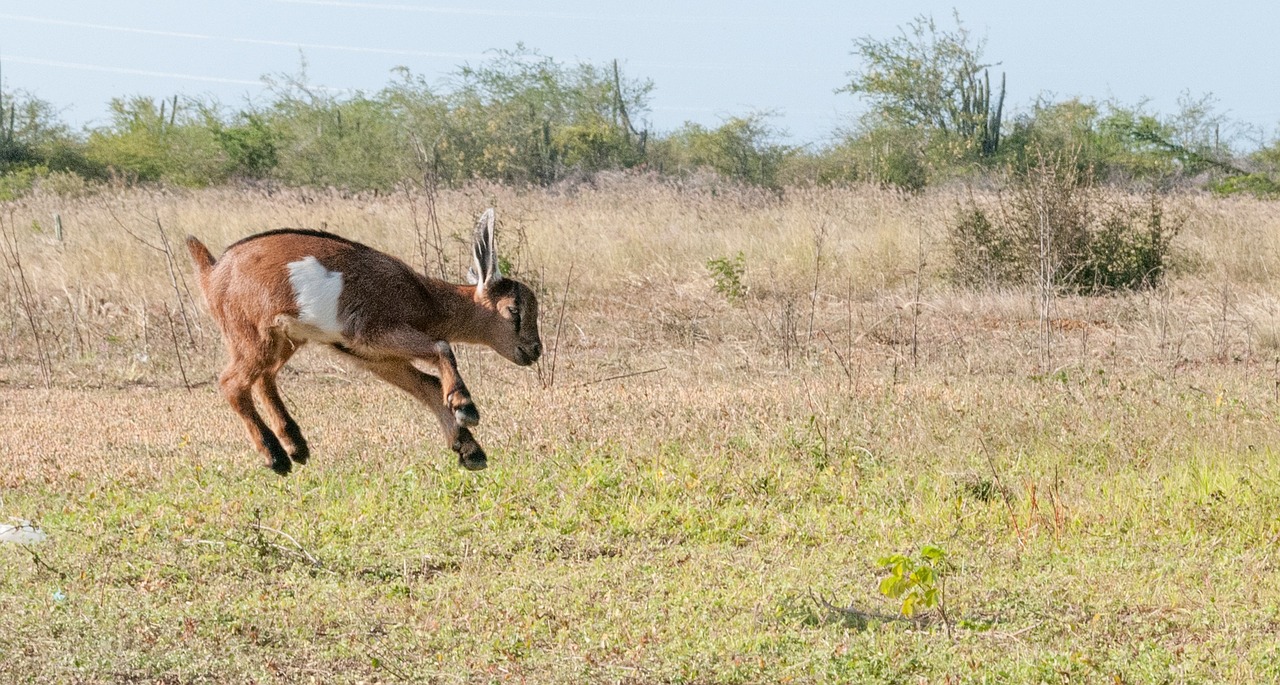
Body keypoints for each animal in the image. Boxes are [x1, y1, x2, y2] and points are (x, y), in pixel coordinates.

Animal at [185, 208, 540, 473]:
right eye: (514, 310)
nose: (533, 350)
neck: (424, 297)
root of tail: (212, 272)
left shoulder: (373, 357)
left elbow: (426, 385)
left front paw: (469, 449)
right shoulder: (374, 331)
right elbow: (442, 348)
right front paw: (465, 407)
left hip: (284, 338)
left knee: (264, 378)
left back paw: (295, 445)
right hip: (250, 333)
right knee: (232, 382)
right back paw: (275, 455)